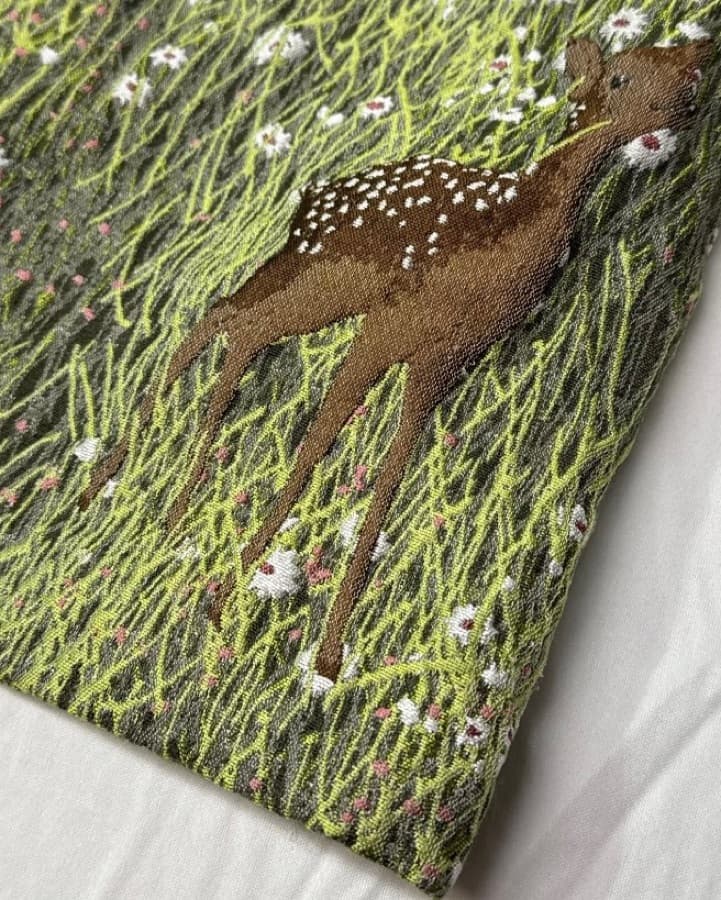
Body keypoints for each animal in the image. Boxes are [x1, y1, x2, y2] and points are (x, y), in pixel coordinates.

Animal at [79, 37, 714, 683]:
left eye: (675, 64)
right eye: (620, 77)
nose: (689, 96)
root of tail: (308, 200)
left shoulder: (446, 357)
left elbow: (391, 466)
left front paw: (328, 653)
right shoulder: (391, 325)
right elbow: (318, 440)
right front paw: (225, 597)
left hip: (315, 281)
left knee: (233, 316)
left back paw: (131, 494)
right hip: (329, 278)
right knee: (238, 321)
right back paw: (149, 500)